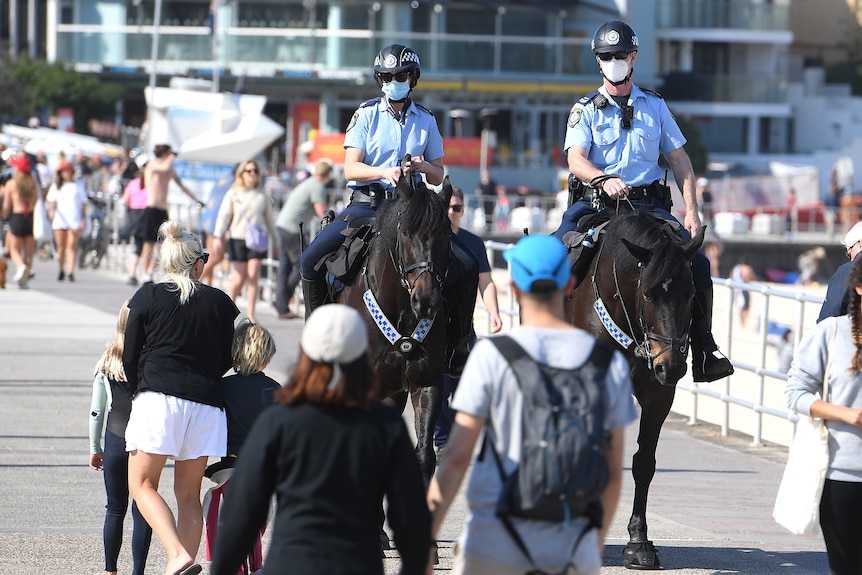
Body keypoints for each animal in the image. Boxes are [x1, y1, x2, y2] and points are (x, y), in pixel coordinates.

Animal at [568, 209, 708, 568]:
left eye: (691, 294)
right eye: (648, 294)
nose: (671, 365)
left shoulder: (658, 395)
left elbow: (644, 463)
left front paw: (638, 541)